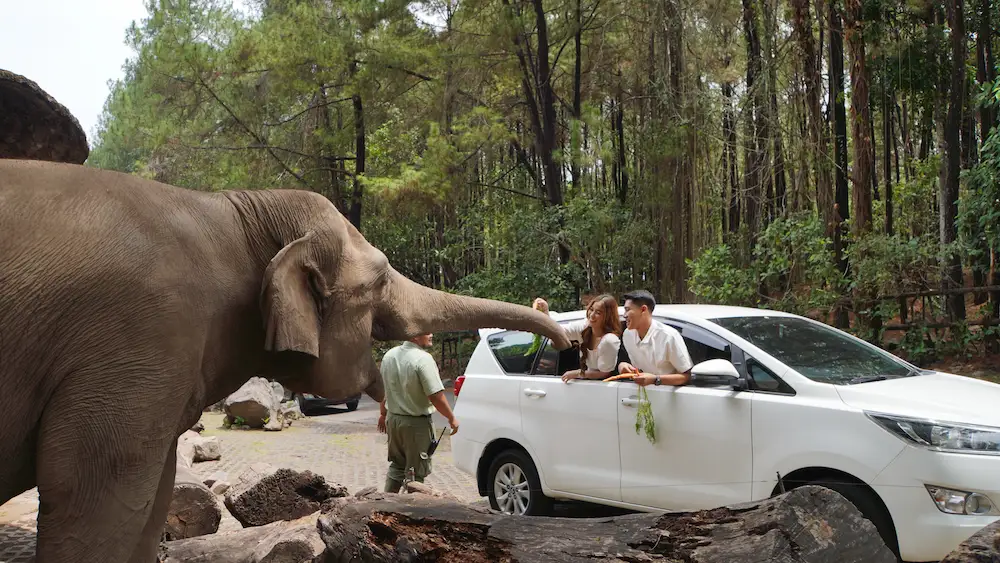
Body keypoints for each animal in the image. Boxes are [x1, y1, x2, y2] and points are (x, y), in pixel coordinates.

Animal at [0, 158, 572, 563]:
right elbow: (89, 491)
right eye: (380, 279)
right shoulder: (140, 336)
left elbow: (154, 494)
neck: (234, 213)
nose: (569, 345)